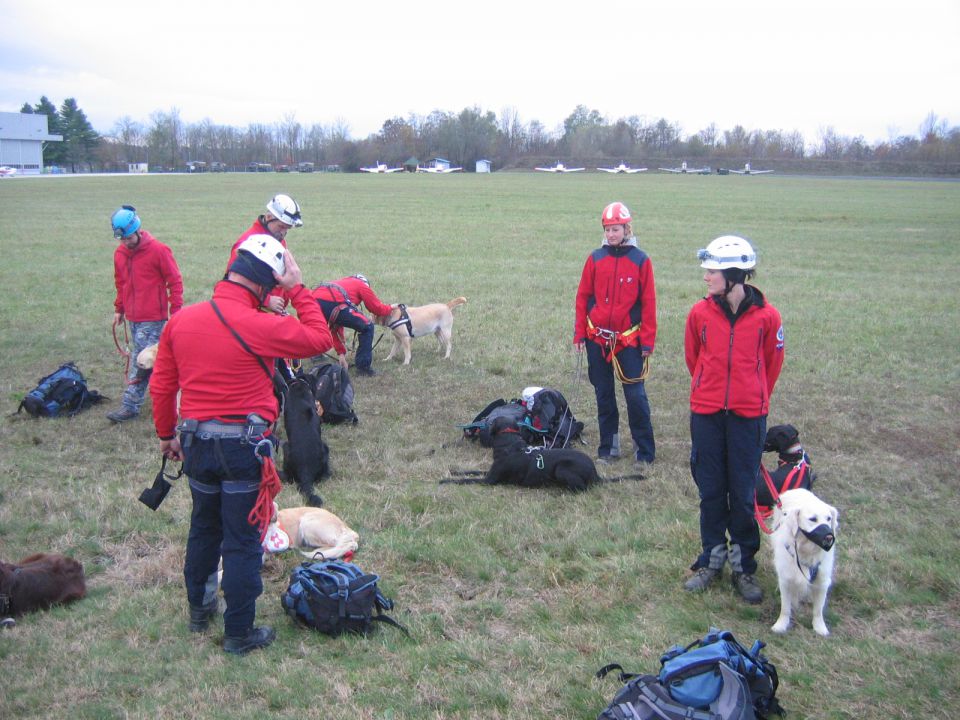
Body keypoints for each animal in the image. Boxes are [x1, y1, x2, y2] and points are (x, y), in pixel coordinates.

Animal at [444, 414, 644, 492]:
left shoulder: (489, 480)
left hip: (562, 469)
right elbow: (471, 472)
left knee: (582, 488)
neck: (510, 444)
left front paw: (445, 480)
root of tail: (595, 473)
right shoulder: (491, 472)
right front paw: (453, 471)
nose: (482, 424)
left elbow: (468, 480)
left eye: (491, 422)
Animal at [768, 490, 836, 636]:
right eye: (813, 519)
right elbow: (785, 607)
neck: (808, 551)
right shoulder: (786, 579)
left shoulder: (822, 581)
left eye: (829, 519)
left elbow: (818, 610)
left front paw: (820, 627)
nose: (829, 537)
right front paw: (781, 625)